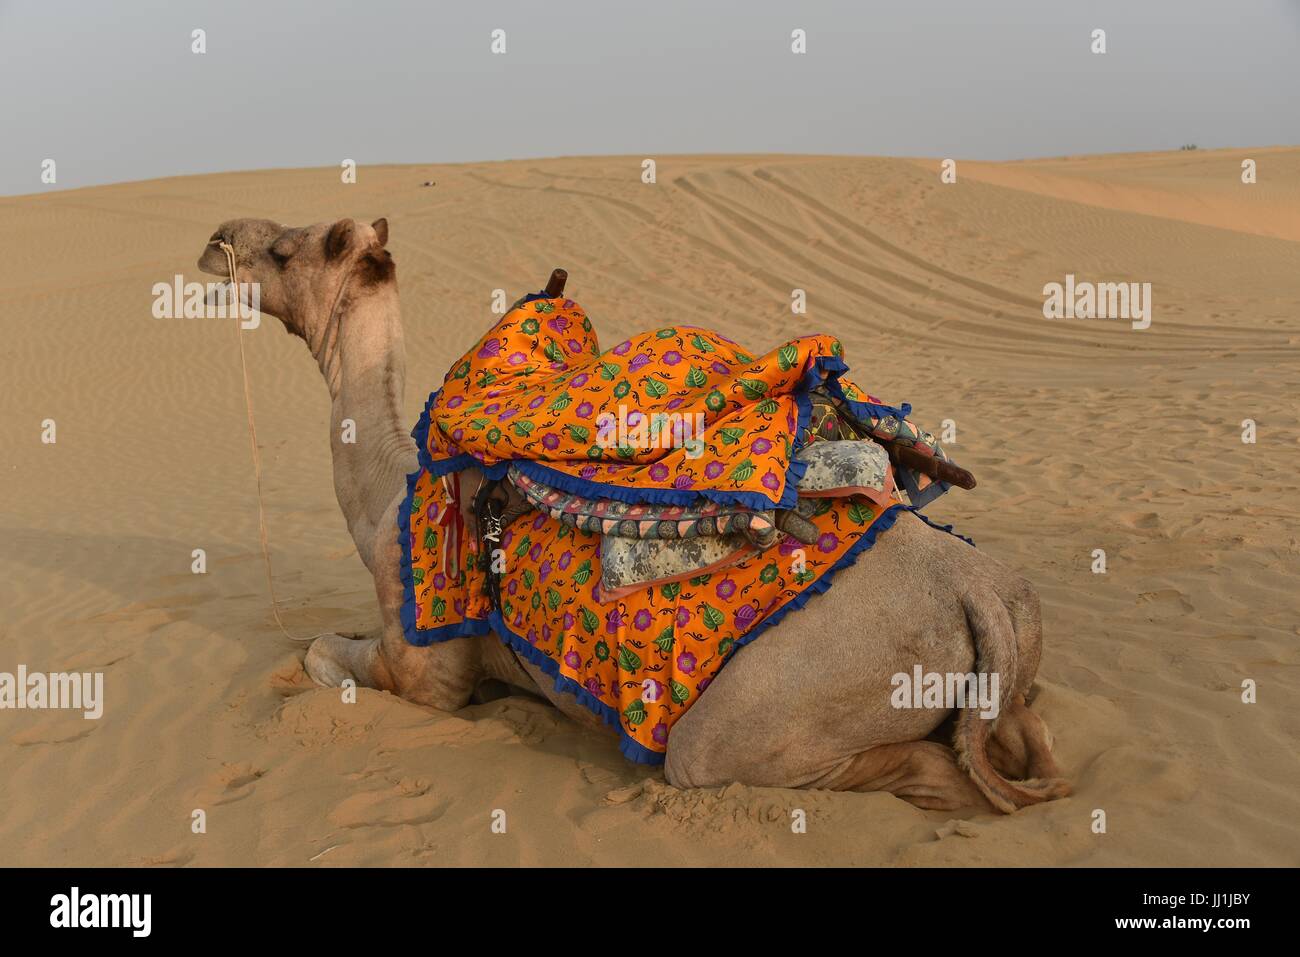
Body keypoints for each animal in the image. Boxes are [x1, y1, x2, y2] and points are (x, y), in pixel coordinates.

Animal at [198, 217, 1069, 813]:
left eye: (288, 249)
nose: (216, 241)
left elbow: (321, 653)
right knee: (1025, 736)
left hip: (775, 709)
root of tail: (980, 595)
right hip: (1006, 659)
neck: (386, 490)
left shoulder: (424, 667)